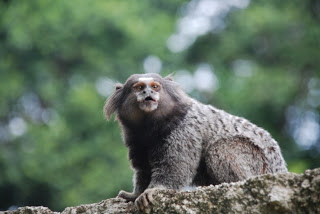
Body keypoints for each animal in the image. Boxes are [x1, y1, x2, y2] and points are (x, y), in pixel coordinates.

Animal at [104, 73, 288, 212]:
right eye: (139, 88)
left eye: (155, 87)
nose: (147, 92)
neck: (151, 126)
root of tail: (279, 167)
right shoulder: (135, 138)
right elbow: (143, 169)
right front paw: (135, 194)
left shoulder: (183, 129)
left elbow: (176, 165)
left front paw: (154, 190)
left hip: (257, 160)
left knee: (219, 149)